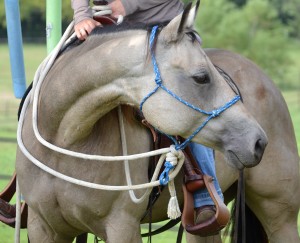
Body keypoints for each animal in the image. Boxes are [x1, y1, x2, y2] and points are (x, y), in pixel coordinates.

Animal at [8, 1, 298, 243]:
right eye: (201, 77)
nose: (258, 141)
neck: (64, 139)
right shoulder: (44, 228)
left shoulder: (122, 227)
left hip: (280, 216)